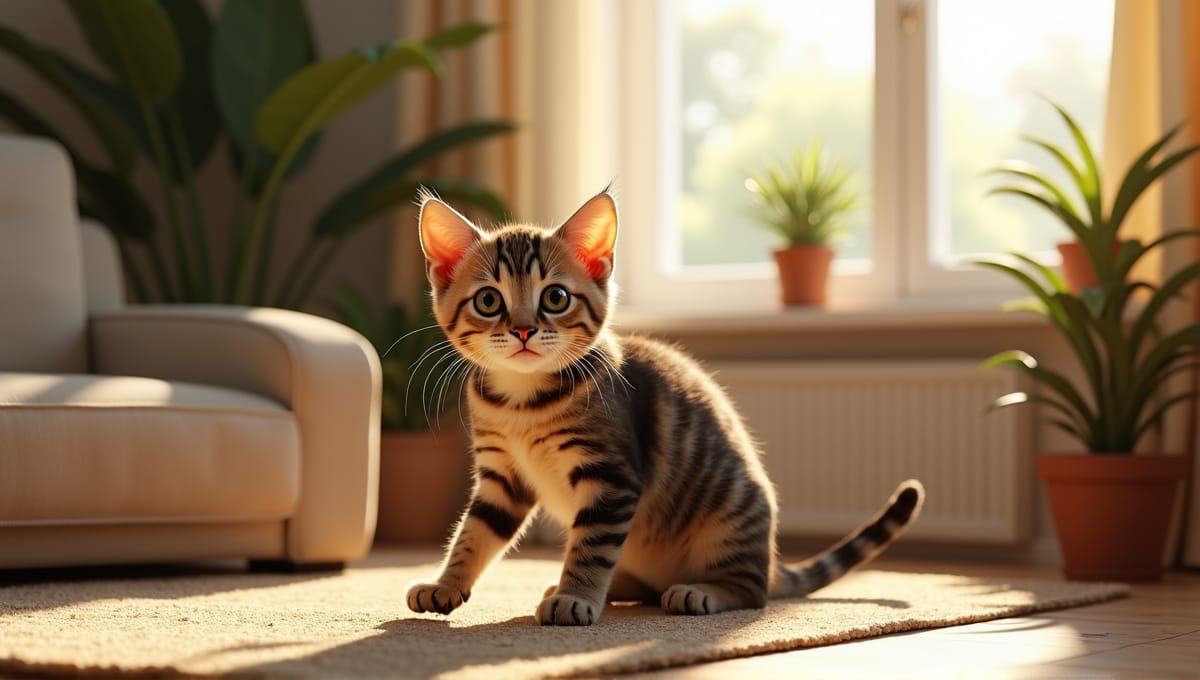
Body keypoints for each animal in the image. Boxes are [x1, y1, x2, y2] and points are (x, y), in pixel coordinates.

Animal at [408, 190, 921, 628]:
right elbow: (474, 533)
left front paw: (575, 597)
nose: (522, 330)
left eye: (555, 297)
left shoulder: (612, 478)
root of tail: (771, 560)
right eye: (488, 300)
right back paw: (608, 587)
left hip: (729, 517)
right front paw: (445, 584)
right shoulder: (502, 478)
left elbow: (592, 547)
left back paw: (700, 592)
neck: (522, 401)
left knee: (752, 593)